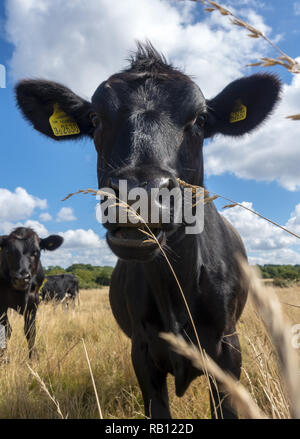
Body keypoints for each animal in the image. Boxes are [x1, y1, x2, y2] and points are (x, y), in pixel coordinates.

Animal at [0, 229, 63, 360]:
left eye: (36, 252)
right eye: (8, 252)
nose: (21, 278)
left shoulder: (33, 302)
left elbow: (30, 331)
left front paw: (33, 357)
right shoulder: (1, 303)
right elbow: (5, 330)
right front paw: (3, 358)